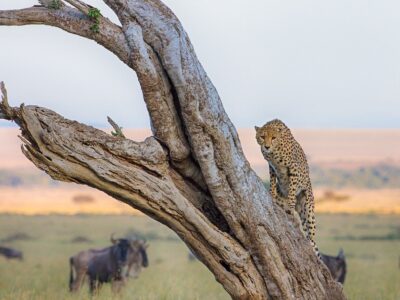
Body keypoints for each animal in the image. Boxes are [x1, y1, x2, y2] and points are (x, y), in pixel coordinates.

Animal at [255, 118, 320, 256]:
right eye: (262, 136)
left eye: (273, 137)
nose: (266, 146)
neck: (274, 151)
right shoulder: (271, 167)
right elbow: (272, 183)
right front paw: (271, 195)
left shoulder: (294, 169)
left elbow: (292, 189)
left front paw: (290, 204)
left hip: (308, 210)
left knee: (312, 237)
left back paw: (311, 246)